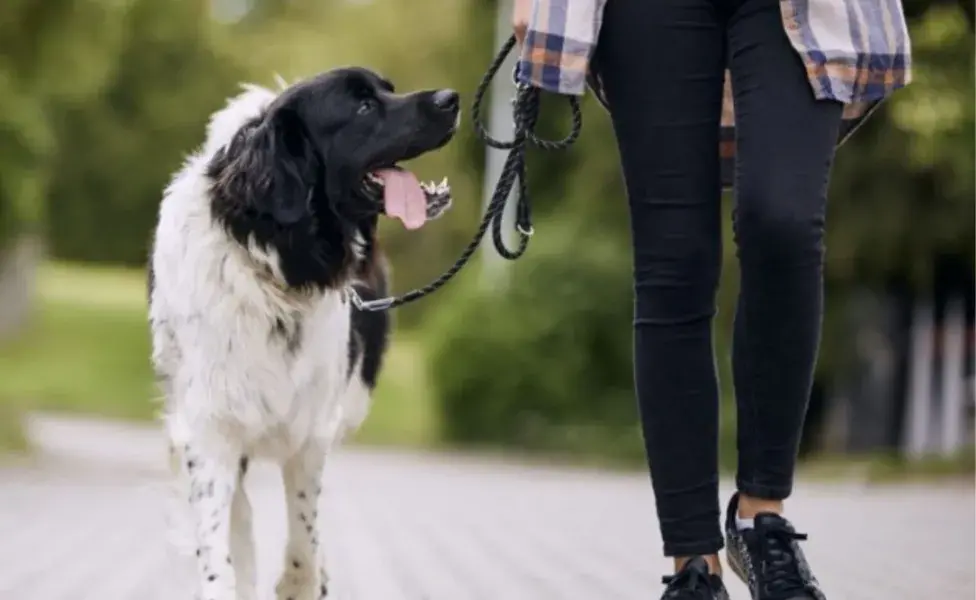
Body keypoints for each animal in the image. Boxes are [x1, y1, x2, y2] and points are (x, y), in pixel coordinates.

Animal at [149, 67, 462, 600]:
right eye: (362, 107)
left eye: (388, 89)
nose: (452, 98)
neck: (277, 264)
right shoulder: (207, 425)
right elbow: (218, 539)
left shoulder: (313, 426)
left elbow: (303, 528)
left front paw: (301, 580)